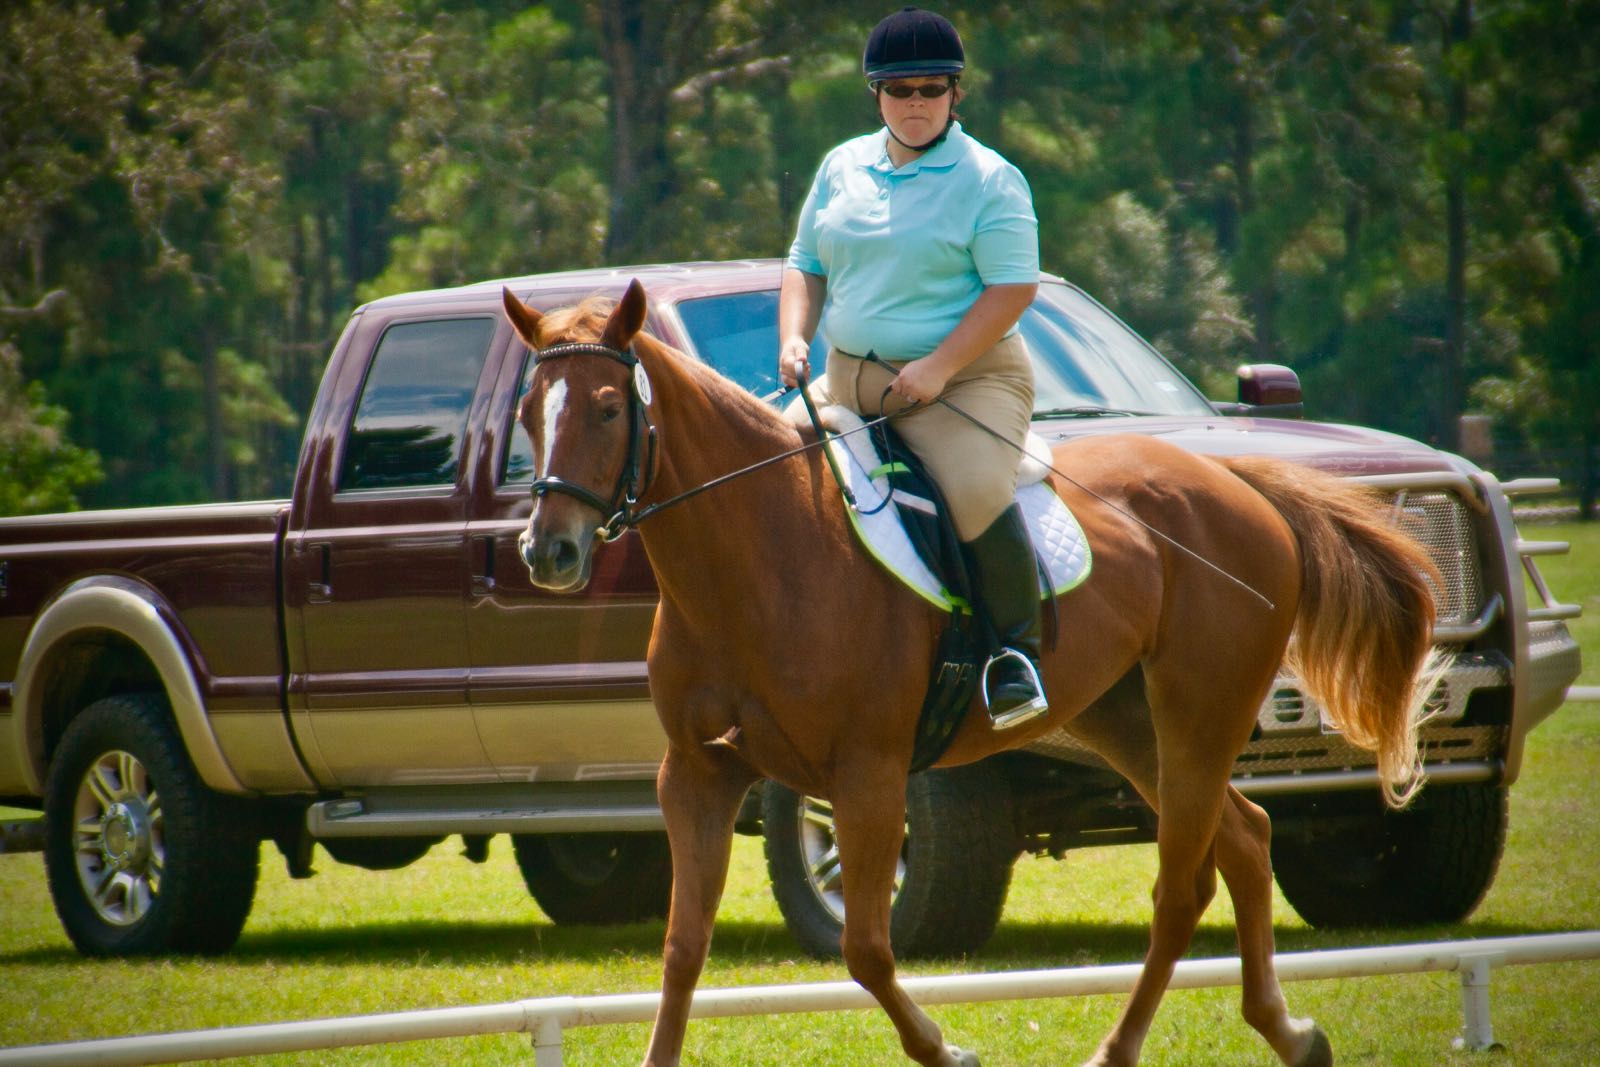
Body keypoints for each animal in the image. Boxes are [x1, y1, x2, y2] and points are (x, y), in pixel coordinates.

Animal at [501, 279, 1442, 1067]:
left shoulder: (868, 774)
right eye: (527, 413)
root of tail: (1236, 482)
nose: (549, 553)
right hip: (1125, 718)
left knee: (1182, 883)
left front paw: (947, 1050)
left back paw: (1121, 1049)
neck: (755, 556)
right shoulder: (695, 772)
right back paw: (1290, 1031)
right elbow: (682, 946)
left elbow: (867, 948)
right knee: (1245, 837)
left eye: (609, 407)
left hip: (1200, 711)